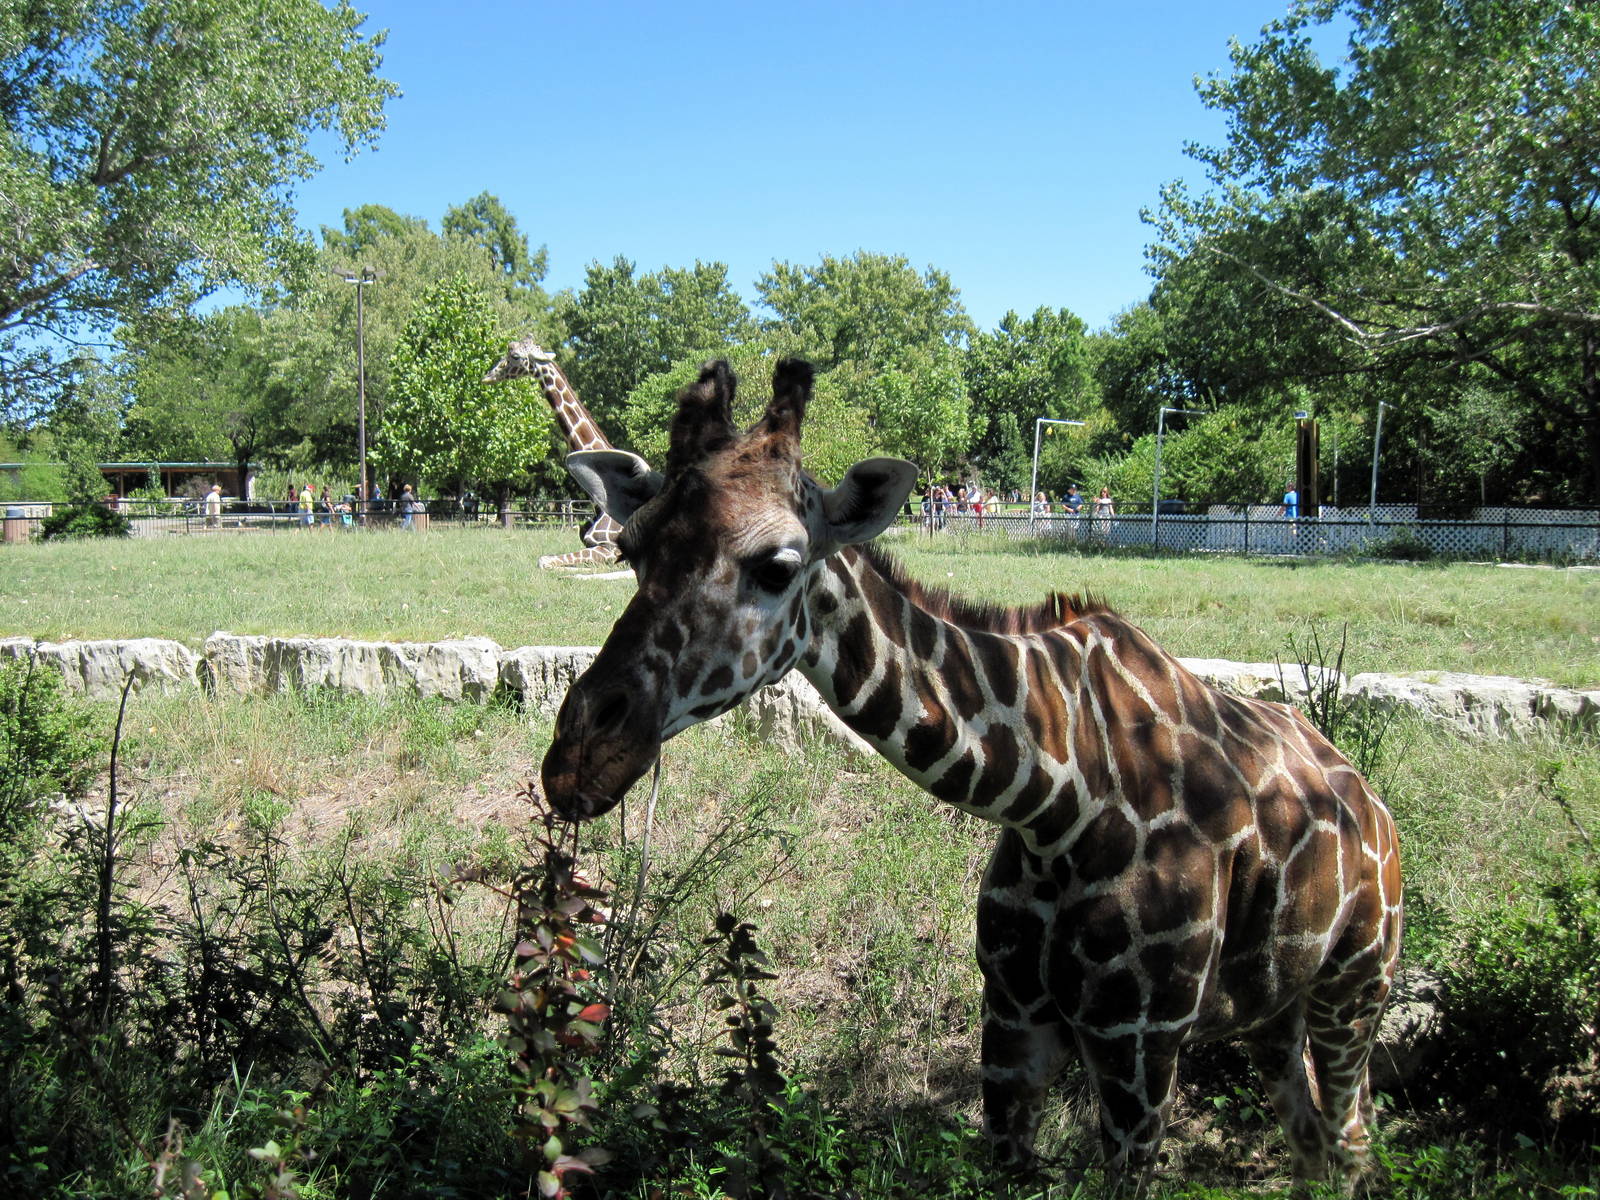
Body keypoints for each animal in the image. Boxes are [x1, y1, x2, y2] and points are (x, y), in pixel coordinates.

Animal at [541, 359, 1404, 1191]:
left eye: (778, 566)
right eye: (630, 548)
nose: (578, 758)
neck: (1058, 801)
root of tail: (1373, 803)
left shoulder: (1139, 1040)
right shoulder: (1012, 1016)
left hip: (1356, 985)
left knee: (1353, 1136)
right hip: (1275, 1009)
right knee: (1312, 1138)